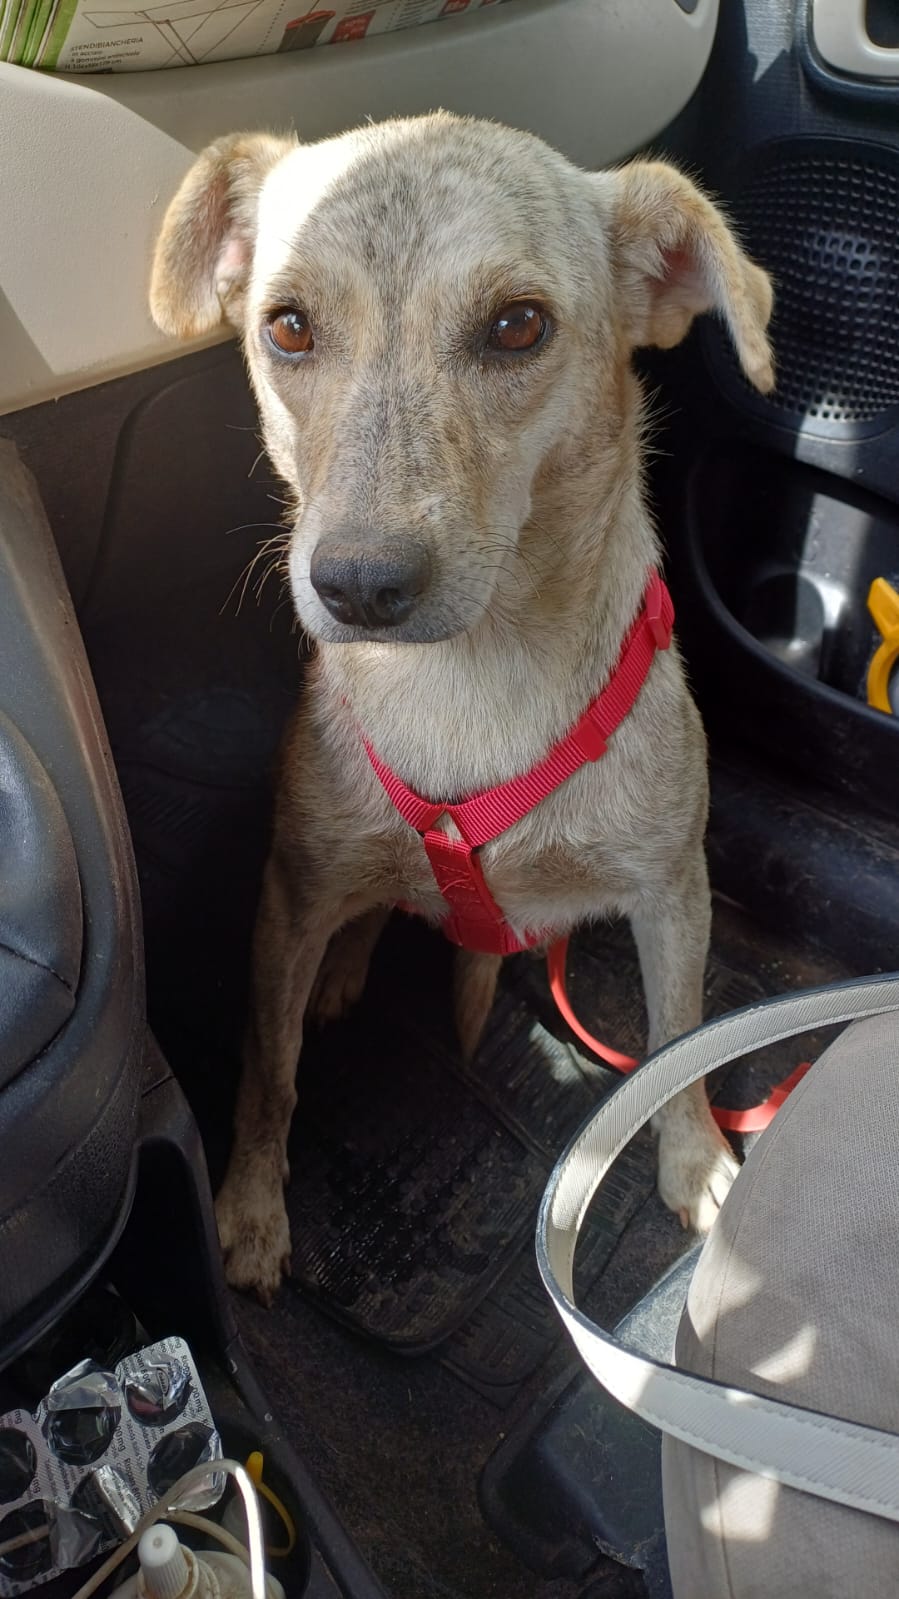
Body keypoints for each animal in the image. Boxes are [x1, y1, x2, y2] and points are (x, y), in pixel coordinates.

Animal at [150, 112, 774, 1304]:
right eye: (287, 327)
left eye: (517, 326)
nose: (358, 584)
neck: (467, 681)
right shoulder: (287, 892)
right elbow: (268, 1070)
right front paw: (249, 1206)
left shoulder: (672, 890)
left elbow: (677, 1041)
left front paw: (692, 1159)